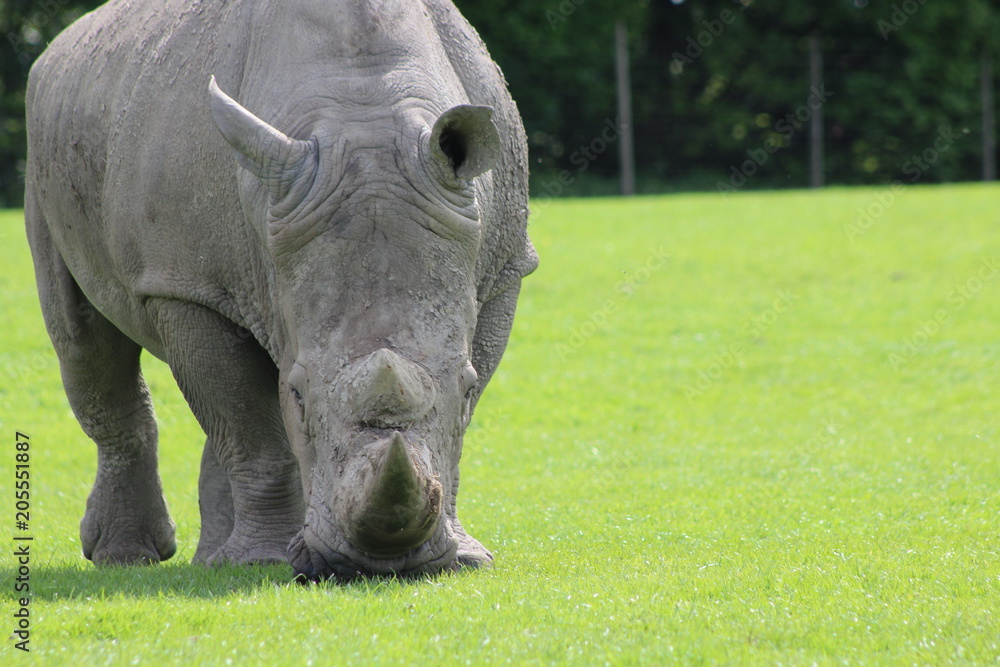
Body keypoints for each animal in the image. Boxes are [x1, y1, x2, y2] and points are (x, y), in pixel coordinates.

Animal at [24, 0, 536, 580]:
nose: (381, 565)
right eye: (299, 393)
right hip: (51, 151)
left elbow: (456, 418)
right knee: (83, 340)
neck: (361, 103)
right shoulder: (186, 284)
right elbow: (249, 426)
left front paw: (466, 555)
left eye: (467, 386)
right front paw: (260, 561)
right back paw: (128, 558)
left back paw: (210, 558)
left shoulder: (503, 268)